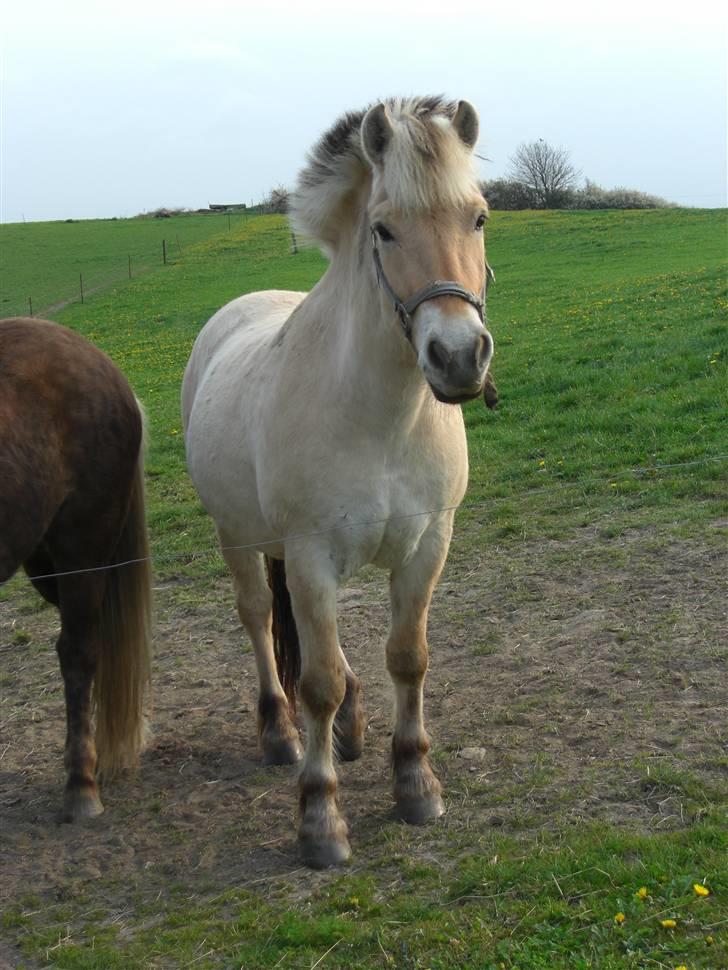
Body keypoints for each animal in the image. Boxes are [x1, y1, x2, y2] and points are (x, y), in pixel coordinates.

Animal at [183, 98, 494, 864]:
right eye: (383, 228)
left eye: (478, 217)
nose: (458, 356)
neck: (381, 416)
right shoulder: (311, 555)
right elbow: (316, 682)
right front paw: (320, 819)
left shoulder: (426, 546)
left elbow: (407, 659)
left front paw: (416, 784)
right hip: (240, 538)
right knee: (261, 622)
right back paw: (278, 731)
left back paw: (352, 726)